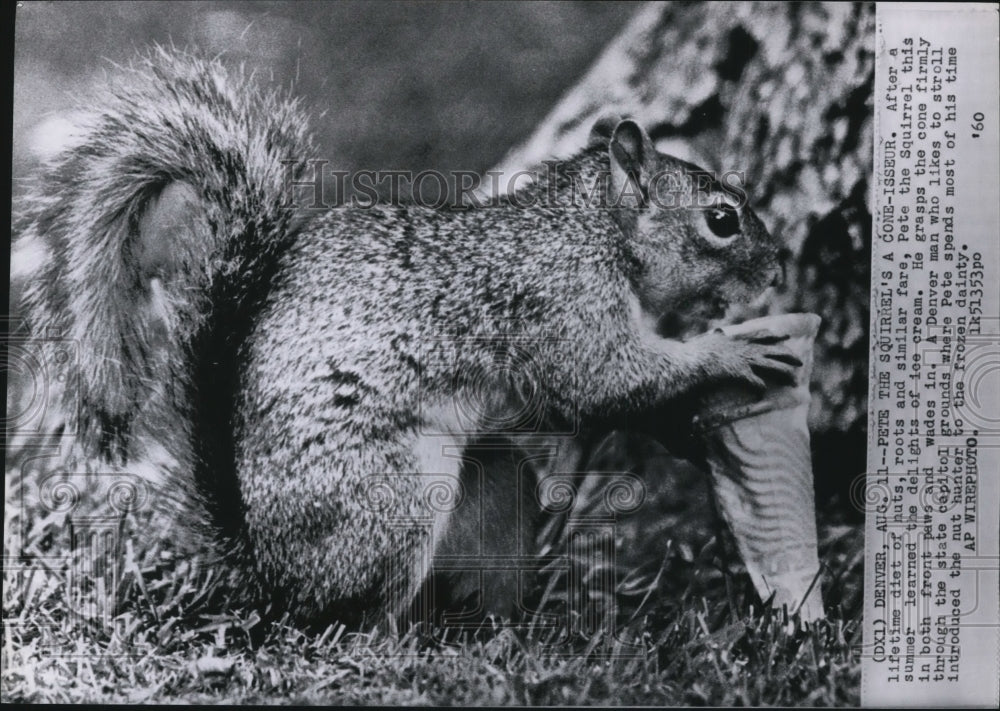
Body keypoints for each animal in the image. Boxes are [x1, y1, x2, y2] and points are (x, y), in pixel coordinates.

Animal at [11, 48, 800, 628]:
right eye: (722, 219)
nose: (779, 265)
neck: (593, 230)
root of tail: (266, 567)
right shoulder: (563, 307)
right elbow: (607, 379)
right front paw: (732, 350)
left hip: (489, 481)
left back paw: (504, 625)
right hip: (393, 496)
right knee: (351, 619)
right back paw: (402, 642)